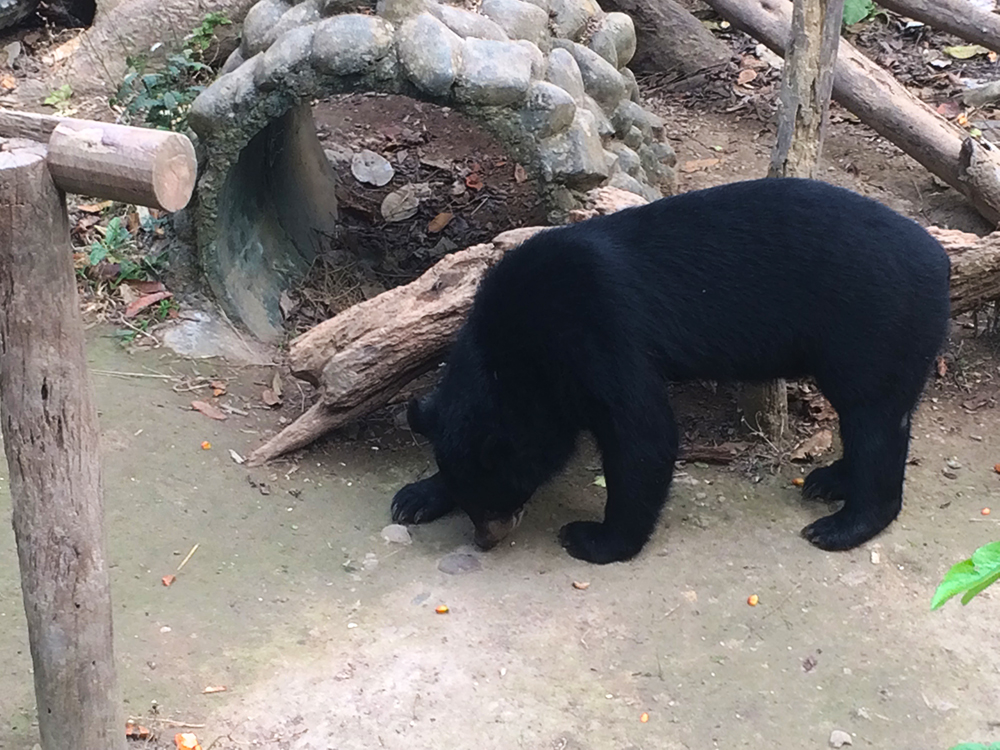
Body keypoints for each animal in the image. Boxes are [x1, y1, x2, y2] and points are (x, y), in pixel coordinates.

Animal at [386, 178, 948, 564]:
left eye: (500, 491)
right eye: (474, 497)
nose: (488, 539)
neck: (514, 354)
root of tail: (940, 260)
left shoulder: (600, 334)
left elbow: (642, 432)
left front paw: (591, 538)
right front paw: (415, 496)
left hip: (875, 327)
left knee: (874, 421)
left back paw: (840, 524)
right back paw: (828, 480)